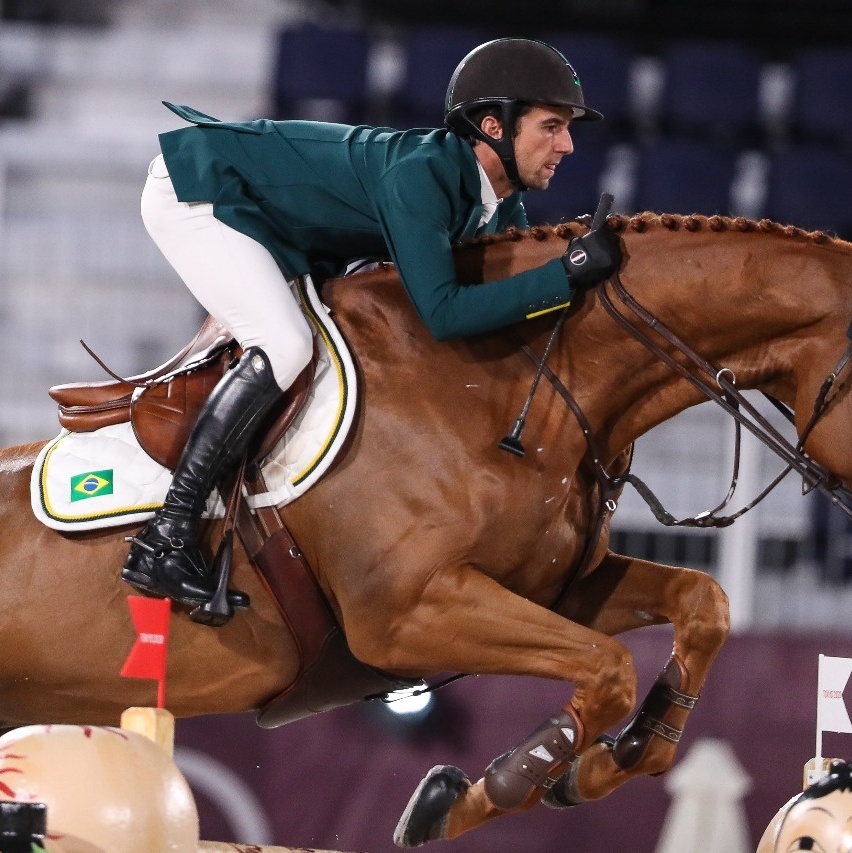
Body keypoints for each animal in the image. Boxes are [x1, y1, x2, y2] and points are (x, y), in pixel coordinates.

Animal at [1, 213, 852, 844]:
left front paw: (616, 756)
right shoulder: (409, 613)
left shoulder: (552, 587)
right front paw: (506, 779)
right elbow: (607, 666)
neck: (513, 384)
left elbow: (702, 603)